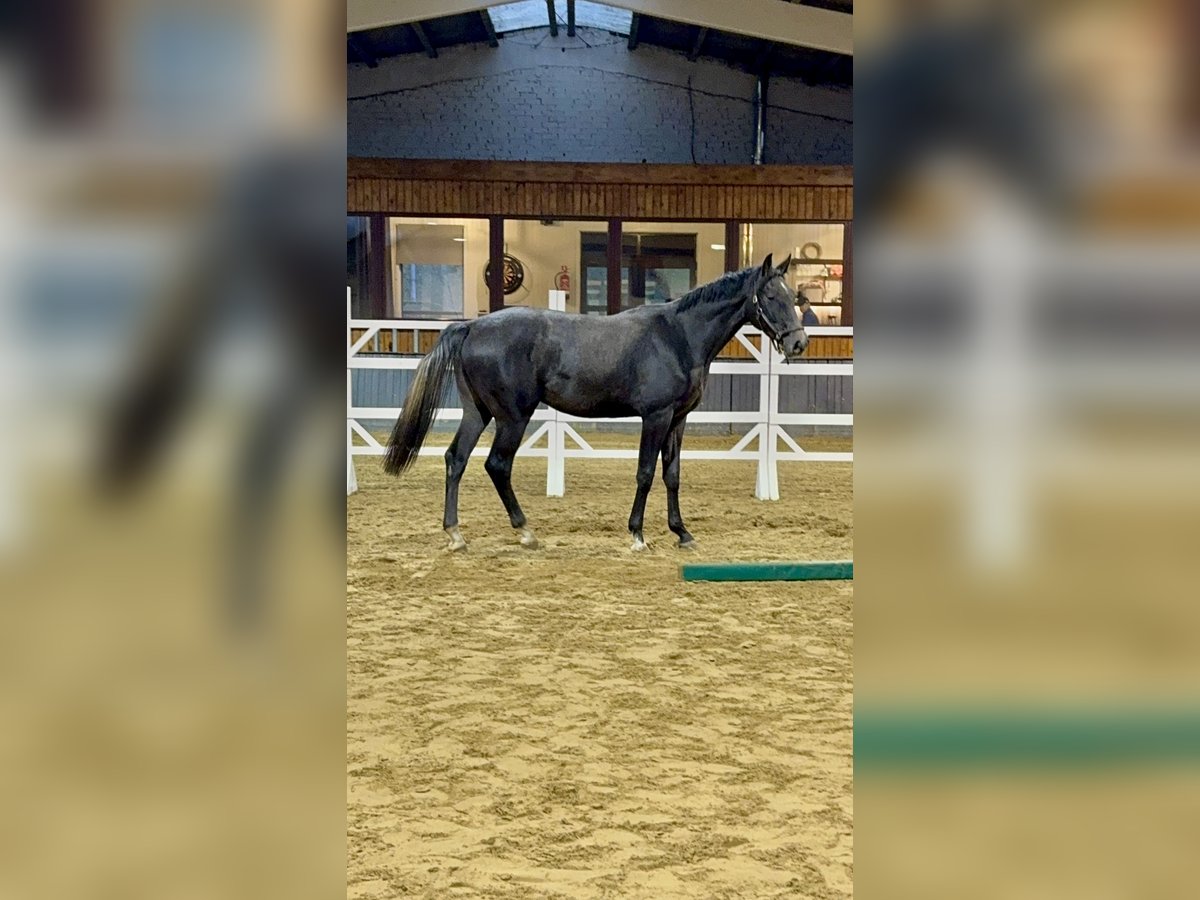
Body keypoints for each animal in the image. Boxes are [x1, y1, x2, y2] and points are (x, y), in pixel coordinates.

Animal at [383, 254, 808, 552]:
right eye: (771, 296)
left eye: (794, 297)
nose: (799, 343)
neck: (678, 335)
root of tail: (471, 326)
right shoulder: (656, 416)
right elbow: (645, 473)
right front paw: (637, 535)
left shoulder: (678, 419)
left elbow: (672, 475)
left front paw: (682, 532)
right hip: (512, 417)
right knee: (497, 465)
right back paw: (525, 532)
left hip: (479, 413)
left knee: (456, 459)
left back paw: (456, 534)